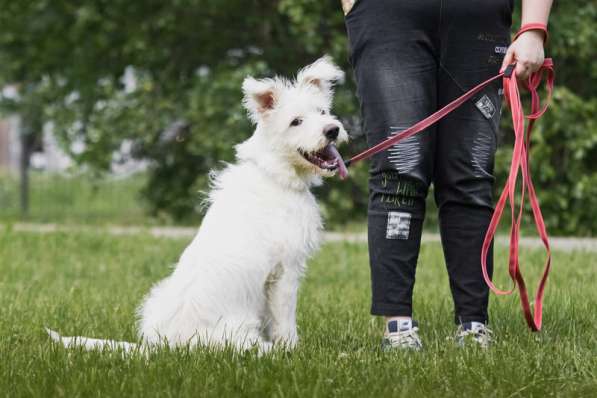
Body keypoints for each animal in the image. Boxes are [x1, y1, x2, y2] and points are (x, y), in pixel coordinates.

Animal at [50, 54, 350, 352]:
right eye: (296, 121)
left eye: (323, 111)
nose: (333, 130)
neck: (272, 174)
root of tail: (164, 347)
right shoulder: (285, 272)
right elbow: (285, 323)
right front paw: (294, 350)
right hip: (242, 337)